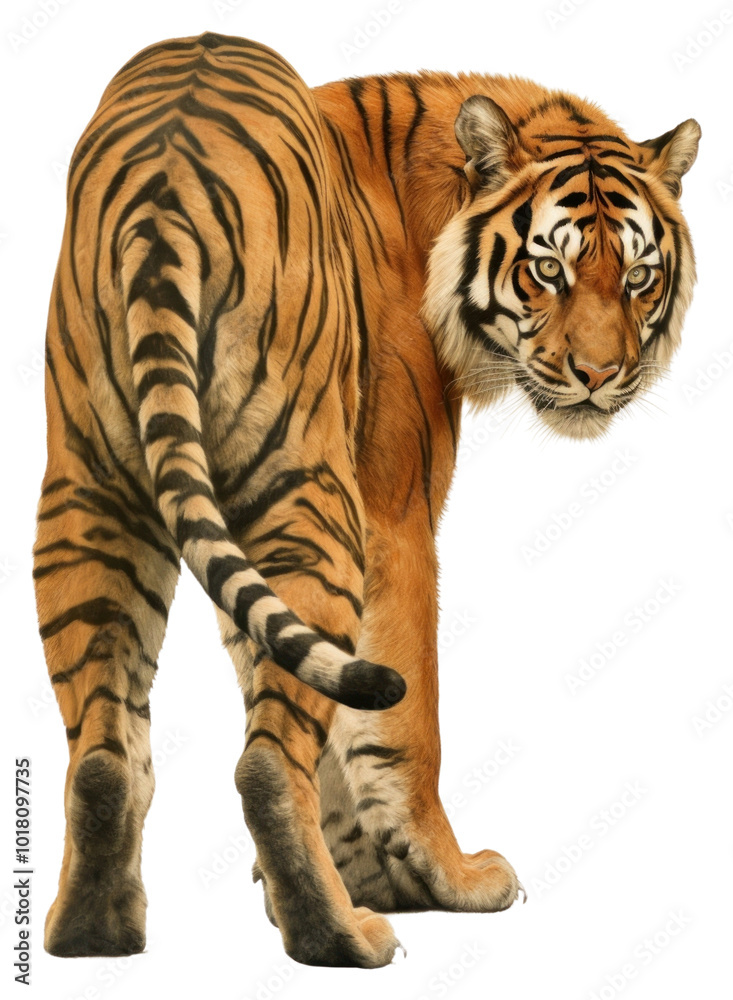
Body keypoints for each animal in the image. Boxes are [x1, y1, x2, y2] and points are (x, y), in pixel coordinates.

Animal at [34, 31, 700, 968]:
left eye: (638, 276)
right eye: (547, 269)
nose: (599, 376)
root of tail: (162, 184)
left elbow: (303, 693)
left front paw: (359, 875)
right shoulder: (392, 511)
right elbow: (400, 718)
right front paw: (440, 880)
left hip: (92, 492)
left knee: (103, 748)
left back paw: (94, 930)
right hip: (307, 499)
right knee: (264, 764)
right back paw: (336, 937)